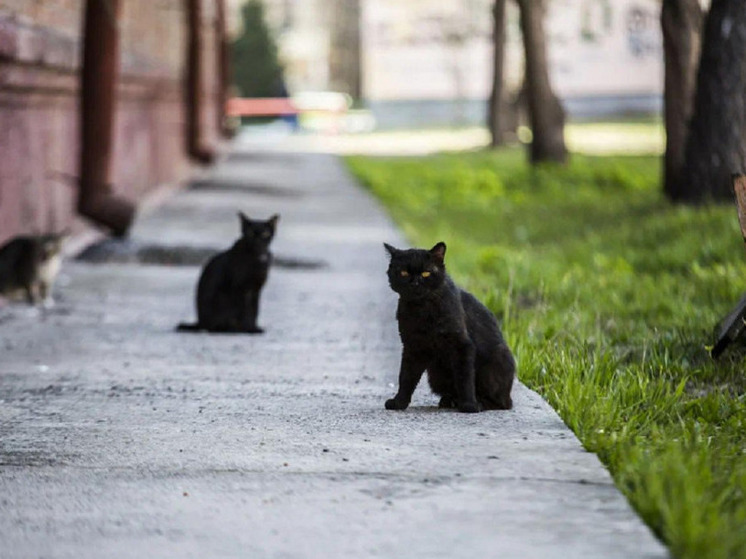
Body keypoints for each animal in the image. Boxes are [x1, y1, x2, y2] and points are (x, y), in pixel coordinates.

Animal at [380, 243, 516, 414]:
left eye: (426, 273)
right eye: (403, 272)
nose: (415, 283)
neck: (422, 310)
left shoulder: (462, 345)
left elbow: (464, 378)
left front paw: (469, 405)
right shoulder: (412, 347)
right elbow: (406, 377)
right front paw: (399, 402)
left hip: (496, 360)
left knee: (502, 403)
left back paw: (477, 403)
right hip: (436, 375)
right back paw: (449, 400)